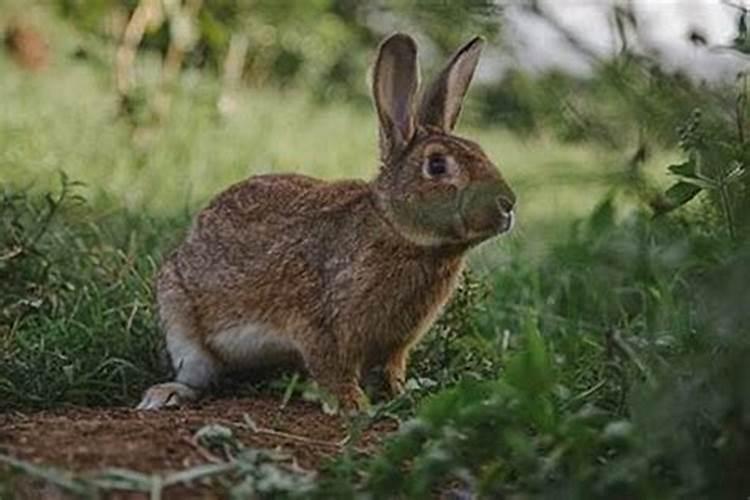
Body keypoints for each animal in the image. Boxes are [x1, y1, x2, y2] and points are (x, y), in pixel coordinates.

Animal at [138, 33, 516, 412]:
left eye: (481, 150)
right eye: (437, 165)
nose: (508, 204)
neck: (395, 229)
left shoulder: (396, 345)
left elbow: (392, 369)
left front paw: (401, 395)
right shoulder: (318, 326)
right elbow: (332, 368)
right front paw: (352, 404)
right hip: (180, 318)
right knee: (197, 373)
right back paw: (166, 394)